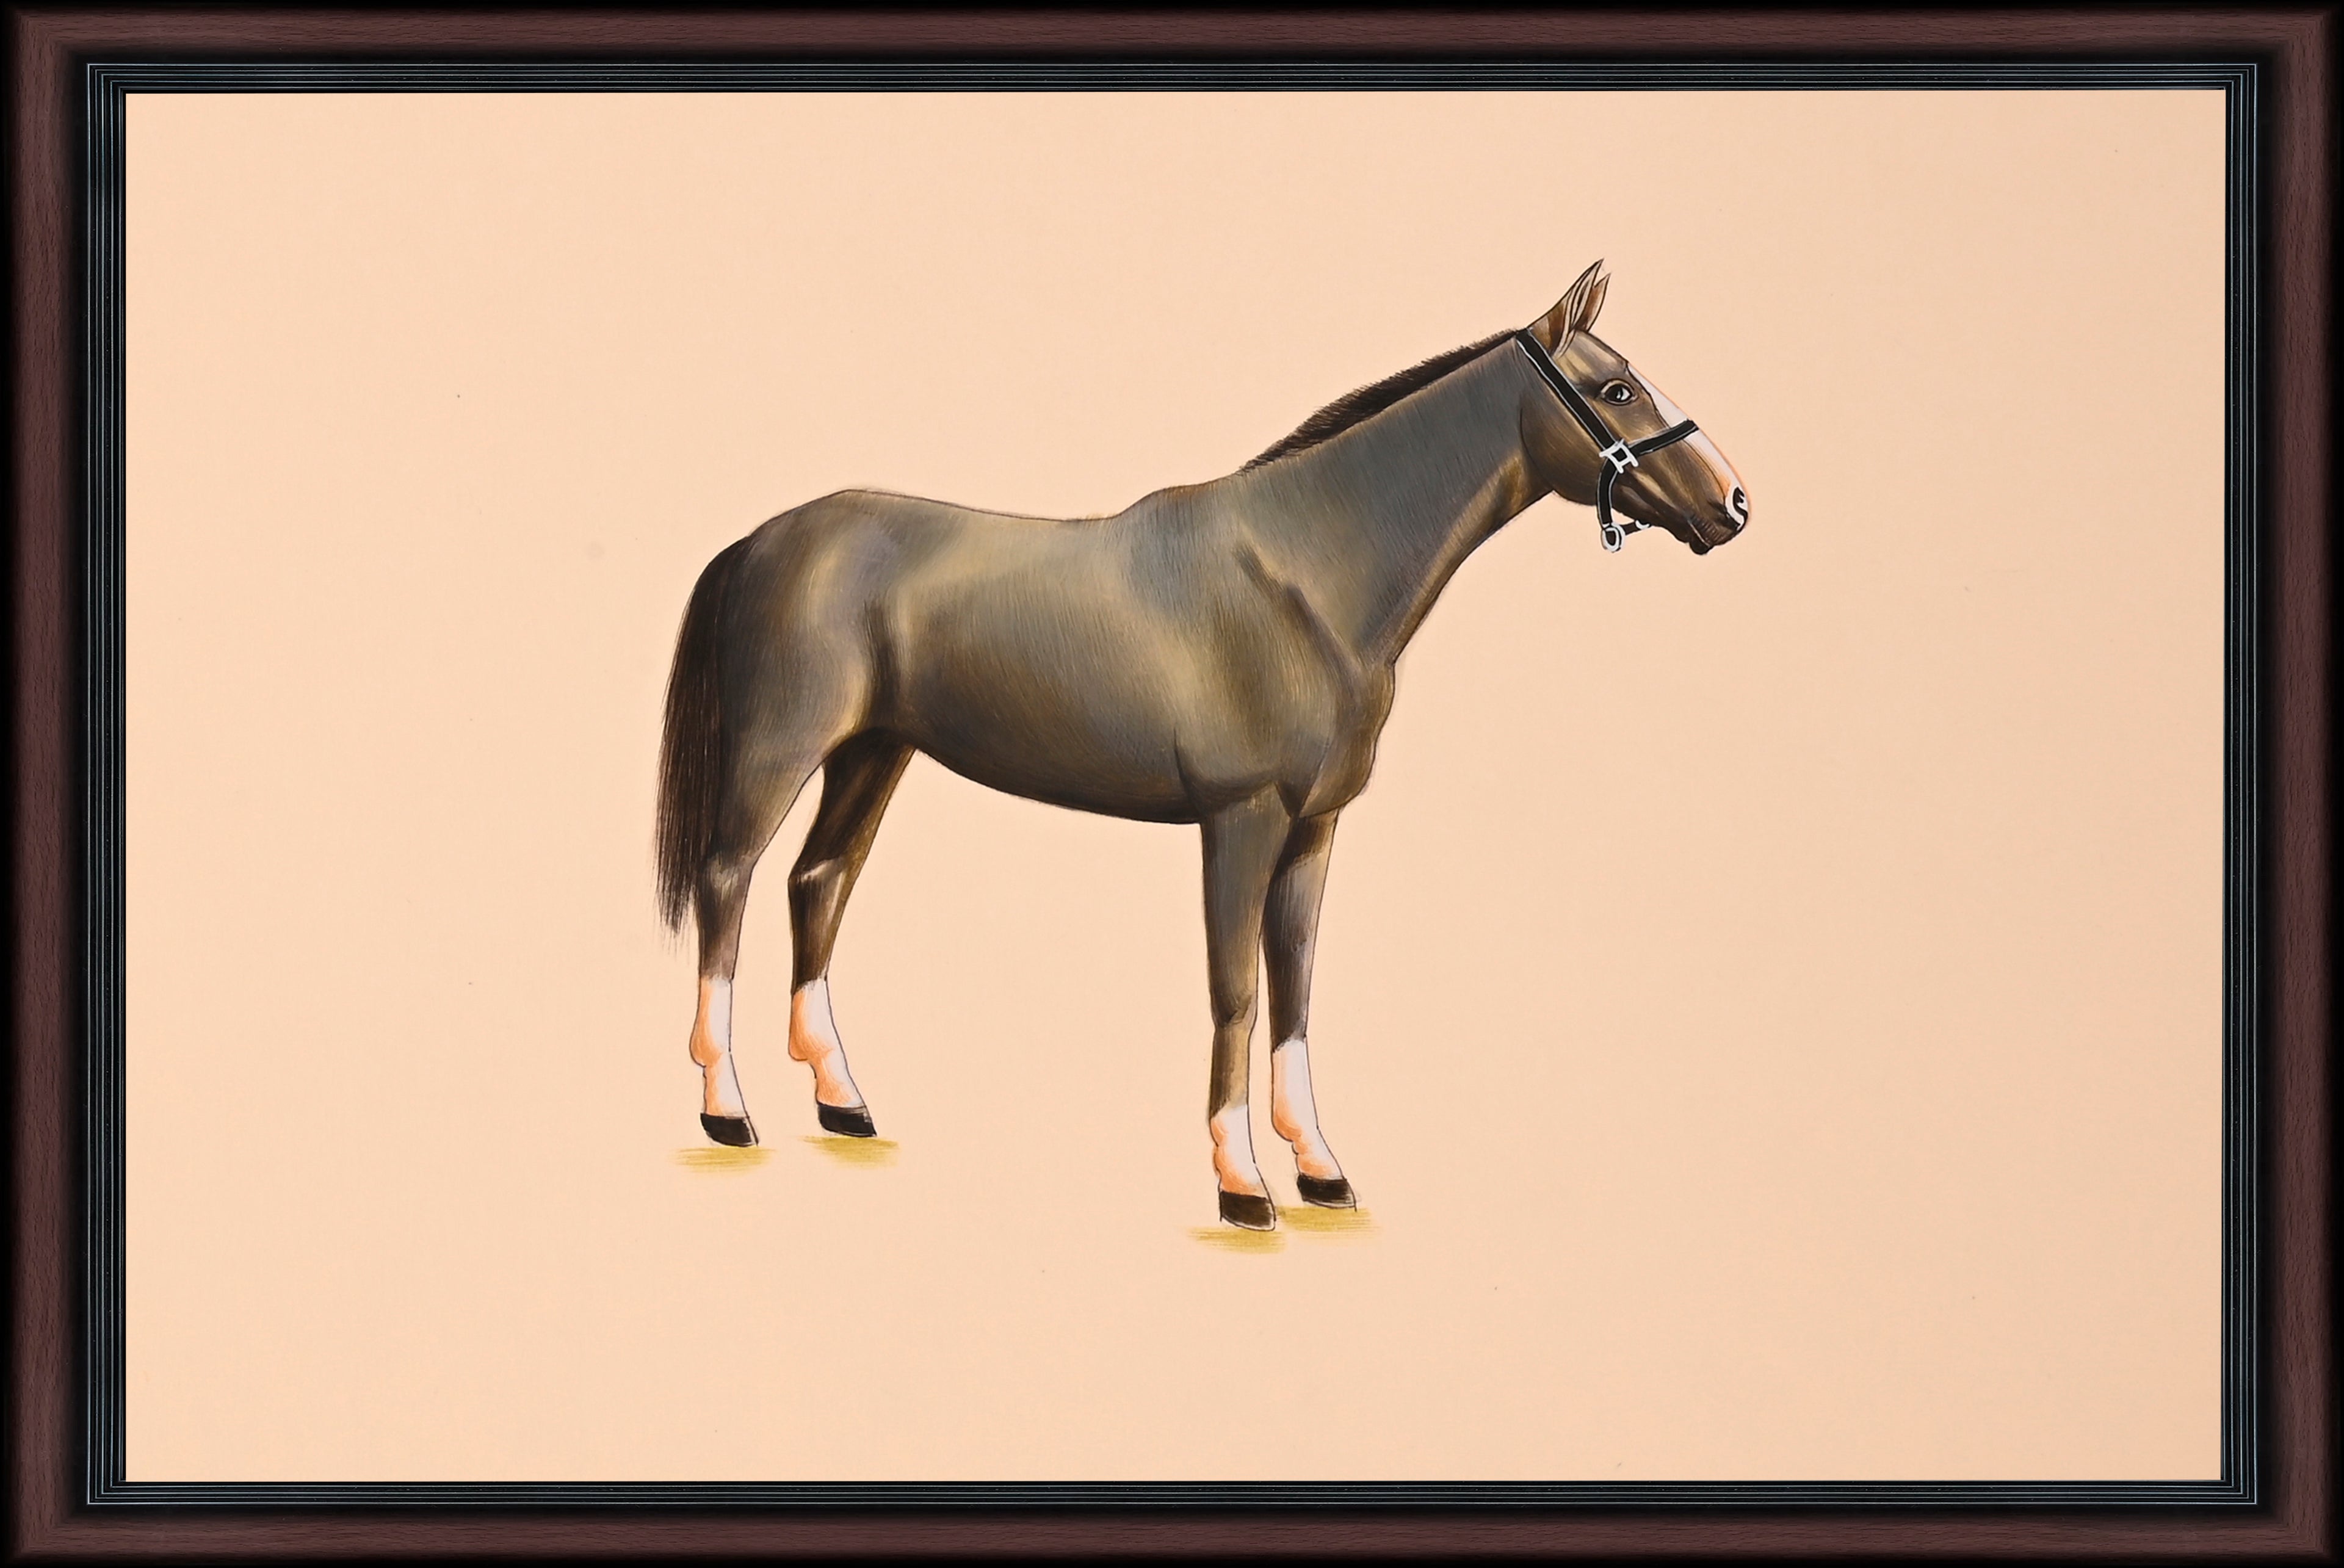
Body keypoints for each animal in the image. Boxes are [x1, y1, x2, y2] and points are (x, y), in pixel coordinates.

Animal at [656, 262, 1747, 1229]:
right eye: (1615, 387)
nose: (1733, 503)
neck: (1304, 575)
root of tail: (760, 541)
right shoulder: (1241, 820)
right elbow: (1238, 996)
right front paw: (1242, 1186)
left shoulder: (1313, 830)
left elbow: (1296, 987)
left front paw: (1321, 1172)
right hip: (779, 753)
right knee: (727, 882)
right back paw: (727, 1111)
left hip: (873, 752)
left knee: (818, 882)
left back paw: (841, 1101)